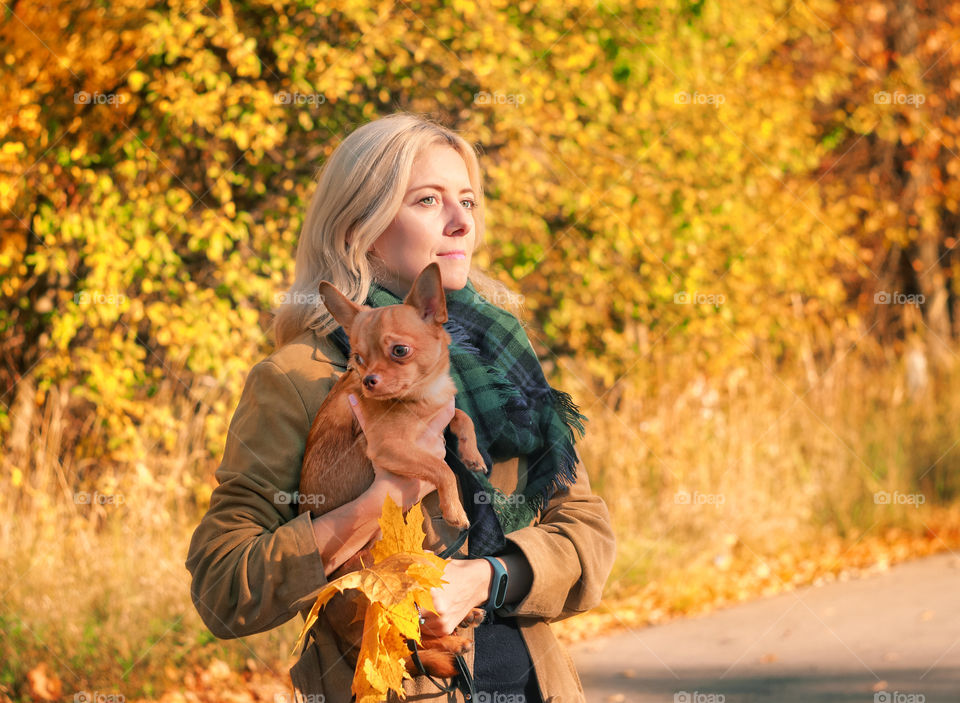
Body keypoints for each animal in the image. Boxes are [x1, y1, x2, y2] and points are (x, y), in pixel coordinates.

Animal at [298, 262, 488, 676]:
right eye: (357, 358)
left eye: (399, 351)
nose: (369, 381)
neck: (424, 396)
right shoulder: (390, 448)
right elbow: (441, 468)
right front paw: (454, 509)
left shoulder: (442, 414)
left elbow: (461, 417)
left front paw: (472, 454)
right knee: (411, 638)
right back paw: (457, 638)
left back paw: (465, 622)